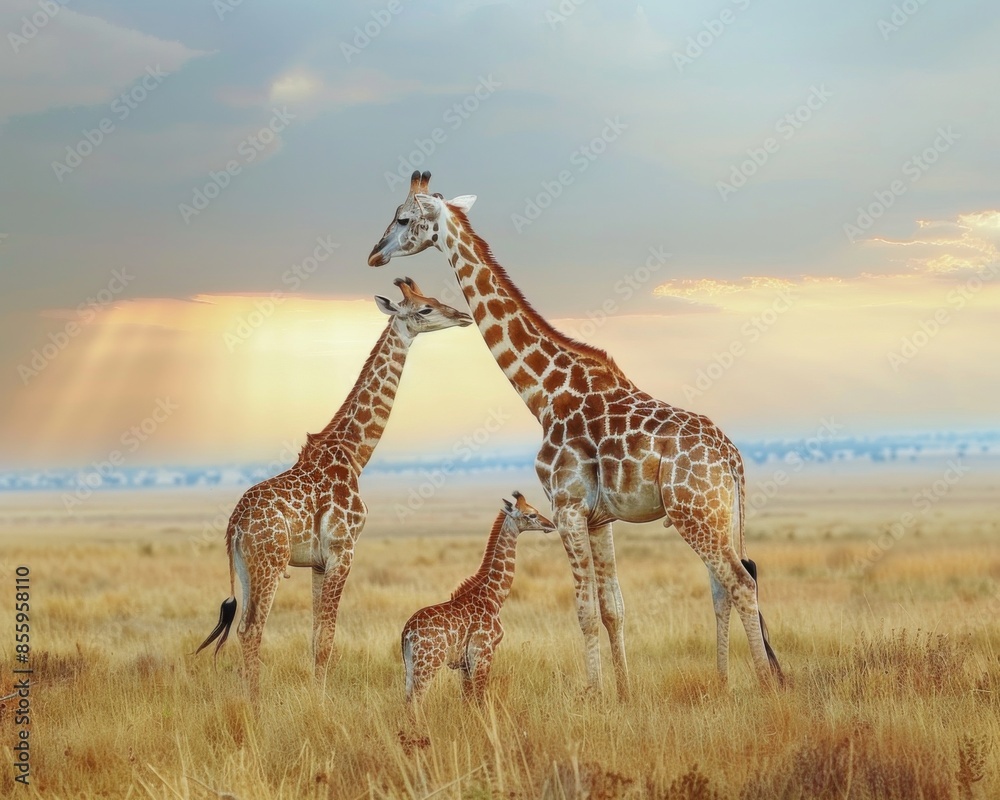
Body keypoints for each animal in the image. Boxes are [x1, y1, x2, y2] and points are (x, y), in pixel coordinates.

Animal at [196, 277, 472, 700]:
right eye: (424, 308)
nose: (462, 315)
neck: (355, 454)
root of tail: (235, 525)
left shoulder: (318, 561)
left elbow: (315, 637)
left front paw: (316, 694)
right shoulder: (344, 550)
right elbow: (327, 638)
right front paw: (320, 702)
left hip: (245, 566)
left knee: (243, 627)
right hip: (269, 563)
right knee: (251, 629)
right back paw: (254, 703)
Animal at [401, 491, 555, 703]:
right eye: (531, 514)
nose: (551, 524)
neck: (493, 596)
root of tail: (407, 632)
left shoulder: (465, 664)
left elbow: (468, 699)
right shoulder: (483, 652)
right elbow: (480, 697)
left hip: (410, 665)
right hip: (429, 662)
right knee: (416, 700)